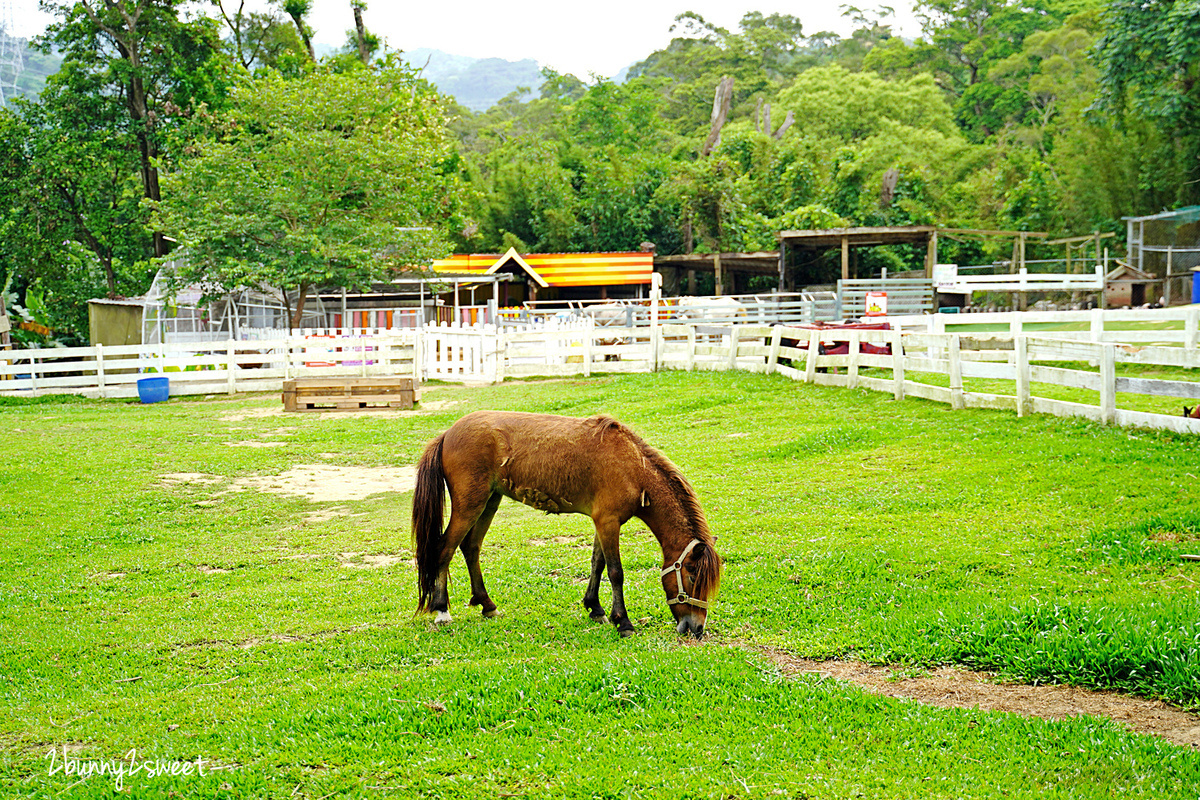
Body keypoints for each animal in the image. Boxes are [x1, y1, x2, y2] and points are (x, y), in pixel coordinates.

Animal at [410, 412, 720, 638]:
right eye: (692, 574)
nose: (696, 628)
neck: (633, 466)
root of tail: (447, 434)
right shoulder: (608, 522)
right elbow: (616, 572)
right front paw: (623, 622)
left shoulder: (602, 522)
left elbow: (598, 564)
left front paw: (595, 608)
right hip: (470, 505)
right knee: (444, 549)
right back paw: (441, 610)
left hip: (489, 501)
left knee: (470, 547)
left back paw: (487, 605)